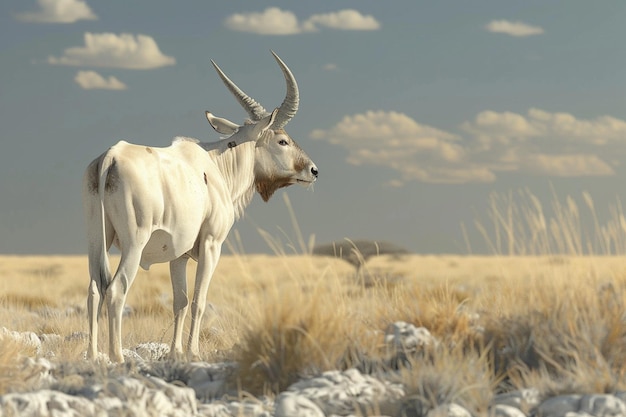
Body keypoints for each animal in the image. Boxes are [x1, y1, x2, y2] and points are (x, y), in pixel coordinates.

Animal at [83, 51, 316, 360]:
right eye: (282, 140)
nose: (313, 170)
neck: (216, 163)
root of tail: (110, 157)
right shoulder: (211, 244)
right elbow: (199, 300)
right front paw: (193, 352)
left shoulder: (178, 256)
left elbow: (180, 301)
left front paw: (175, 352)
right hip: (134, 244)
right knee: (116, 289)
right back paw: (117, 356)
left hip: (98, 241)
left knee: (94, 289)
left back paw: (93, 356)